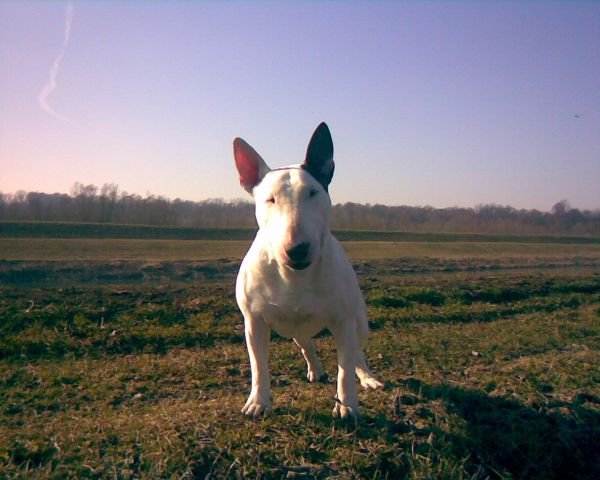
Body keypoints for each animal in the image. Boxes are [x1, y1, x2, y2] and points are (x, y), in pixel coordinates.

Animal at [232, 122, 382, 418]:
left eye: (313, 192)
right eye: (270, 199)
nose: (297, 249)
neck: (294, 276)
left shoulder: (344, 321)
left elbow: (345, 369)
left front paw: (347, 404)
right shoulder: (254, 323)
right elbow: (258, 366)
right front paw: (258, 402)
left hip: (359, 322)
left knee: (357, 354)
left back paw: (367, 378)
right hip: (294, 329)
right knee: (306, 343)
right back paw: (316, 369)